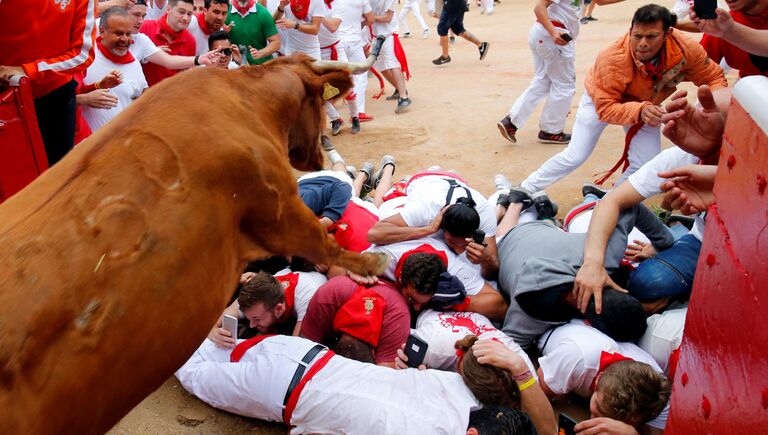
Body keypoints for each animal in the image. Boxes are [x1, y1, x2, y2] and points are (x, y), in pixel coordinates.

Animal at [0, 39, 384, 434]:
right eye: (318, 102)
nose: (320, 152)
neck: (247, 98)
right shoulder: (280, 206)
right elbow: (320, 240)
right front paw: (371, 262)